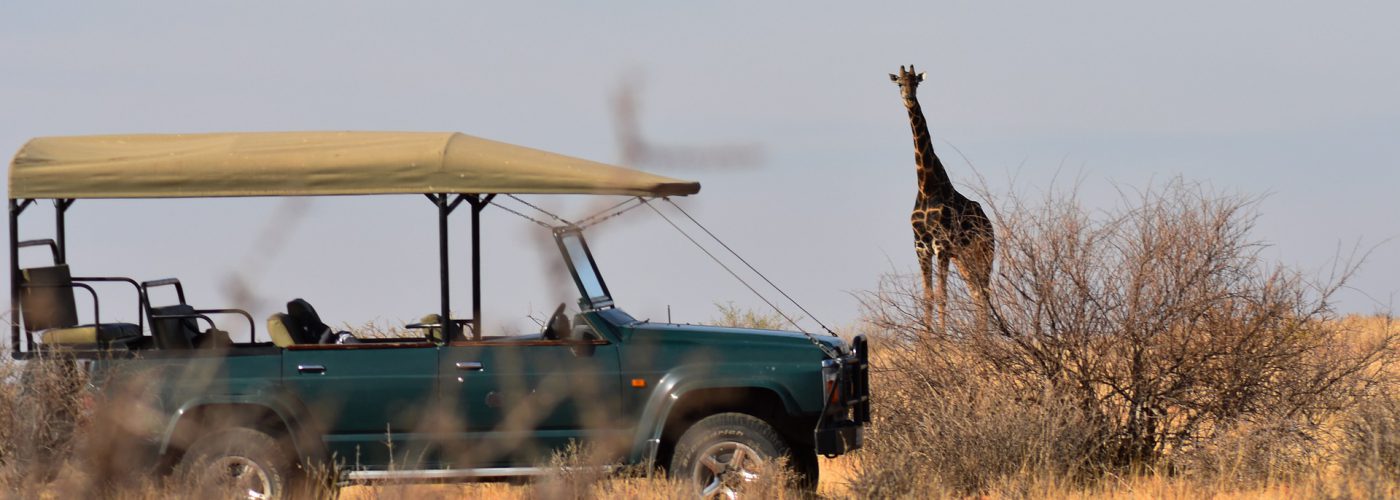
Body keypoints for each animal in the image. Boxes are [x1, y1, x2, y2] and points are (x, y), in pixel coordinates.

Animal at [889, 65, 995, 331]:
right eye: (899, 84)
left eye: (916, 82)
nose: (908, 98)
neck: (927, 187)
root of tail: (989, 223)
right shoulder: (921, 247)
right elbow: (928, 296)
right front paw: (926, 340)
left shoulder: (942, 246)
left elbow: (941, 295)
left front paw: (942, 338)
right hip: (964, 258)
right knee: (976, 292)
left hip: (984, 252)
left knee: (984, 292)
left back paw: (983, 336)